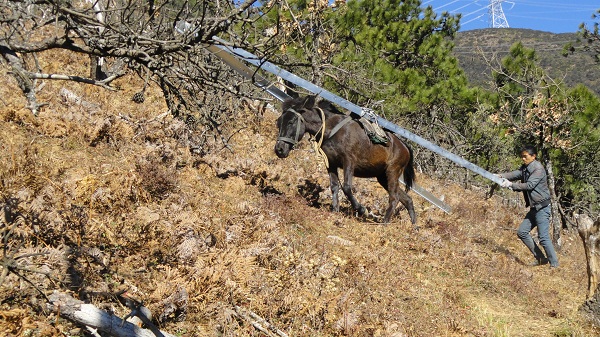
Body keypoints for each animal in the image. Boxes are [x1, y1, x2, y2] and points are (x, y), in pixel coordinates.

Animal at [274, 94, 414, 224]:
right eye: (279, 121)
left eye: (291, 122)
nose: (279, 149)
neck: (332, 130)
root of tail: (405, 147)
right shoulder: (331, 163)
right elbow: (334, 186)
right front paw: (335, 211)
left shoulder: (349, 162)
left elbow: (346, 187)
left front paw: (361, 209)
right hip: (382, 177)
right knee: (407, 199)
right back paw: (414, 228)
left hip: (392, 172)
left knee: (394, 198)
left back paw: (384, 223)